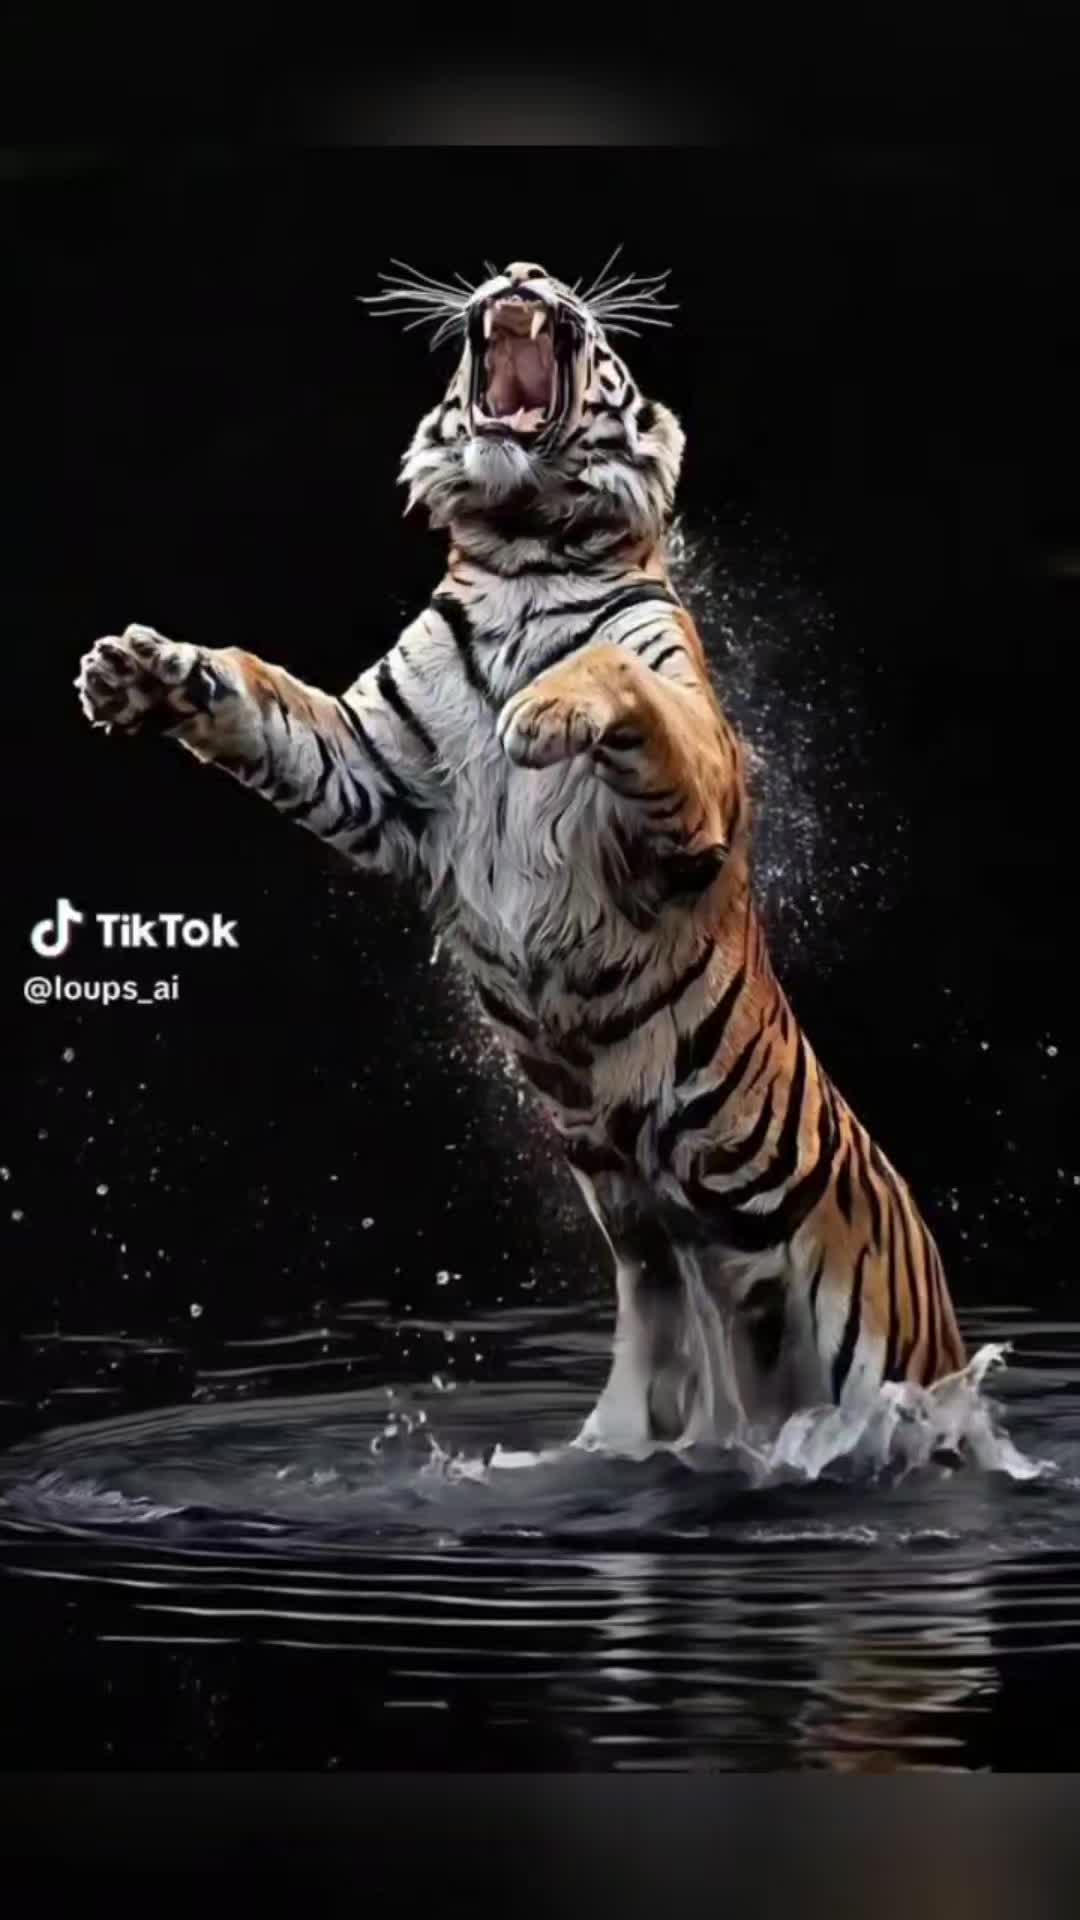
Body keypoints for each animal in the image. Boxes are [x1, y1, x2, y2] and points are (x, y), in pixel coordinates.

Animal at [75, 255, 966, 1455]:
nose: (525, 271)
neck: (525, 554)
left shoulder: (693, 780)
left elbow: (618, 678)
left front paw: (542, 709)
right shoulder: (371, 771)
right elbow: (265, 698)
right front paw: (147, 674)